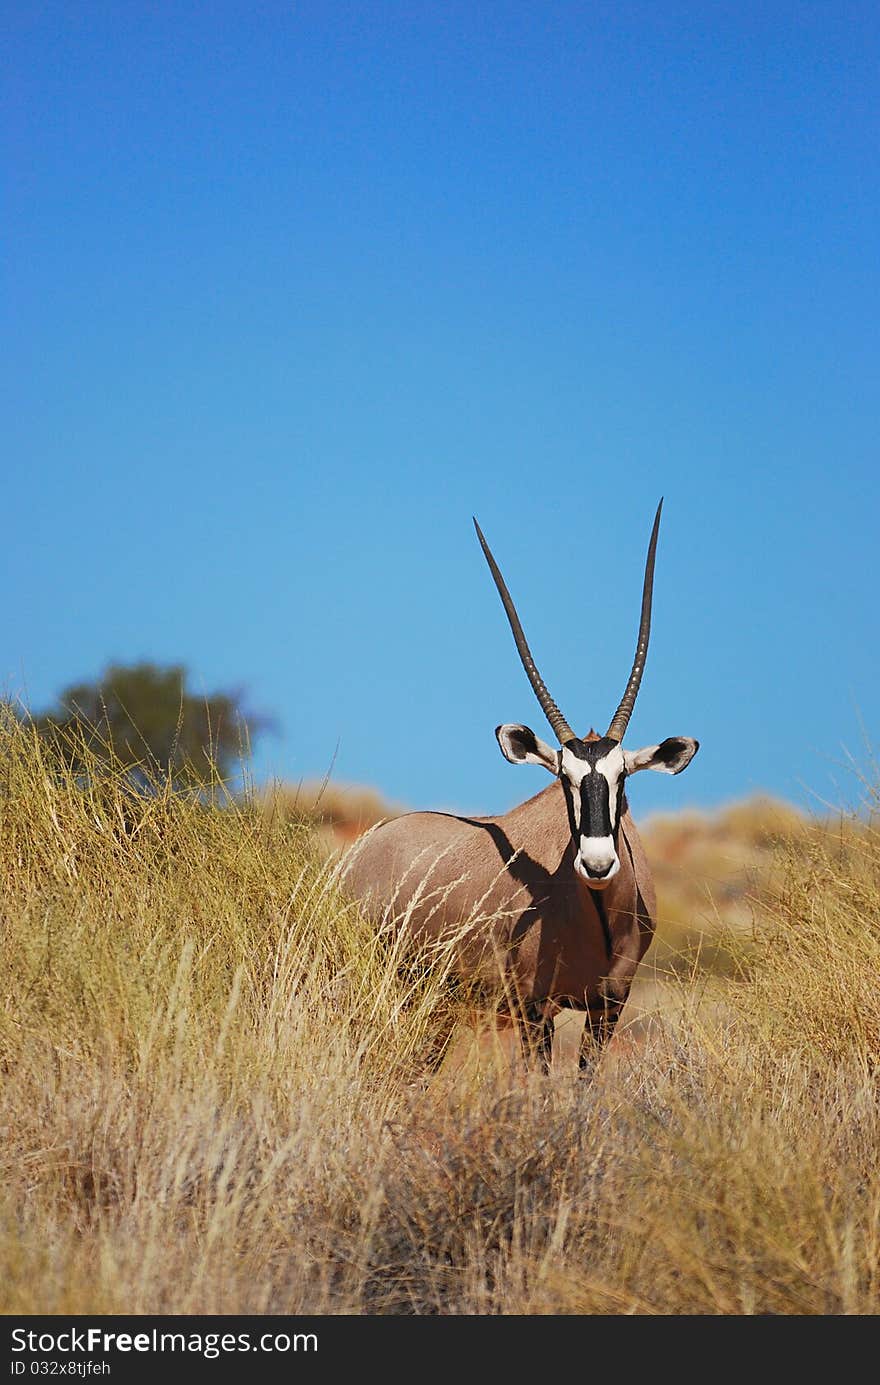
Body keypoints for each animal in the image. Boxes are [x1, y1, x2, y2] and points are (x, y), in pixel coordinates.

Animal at [340, 501, 698, 1069]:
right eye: (563, 779)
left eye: (622, 777)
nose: (598, 864)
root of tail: (366, 848)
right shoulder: (536, 1010)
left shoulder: (608, 1008)